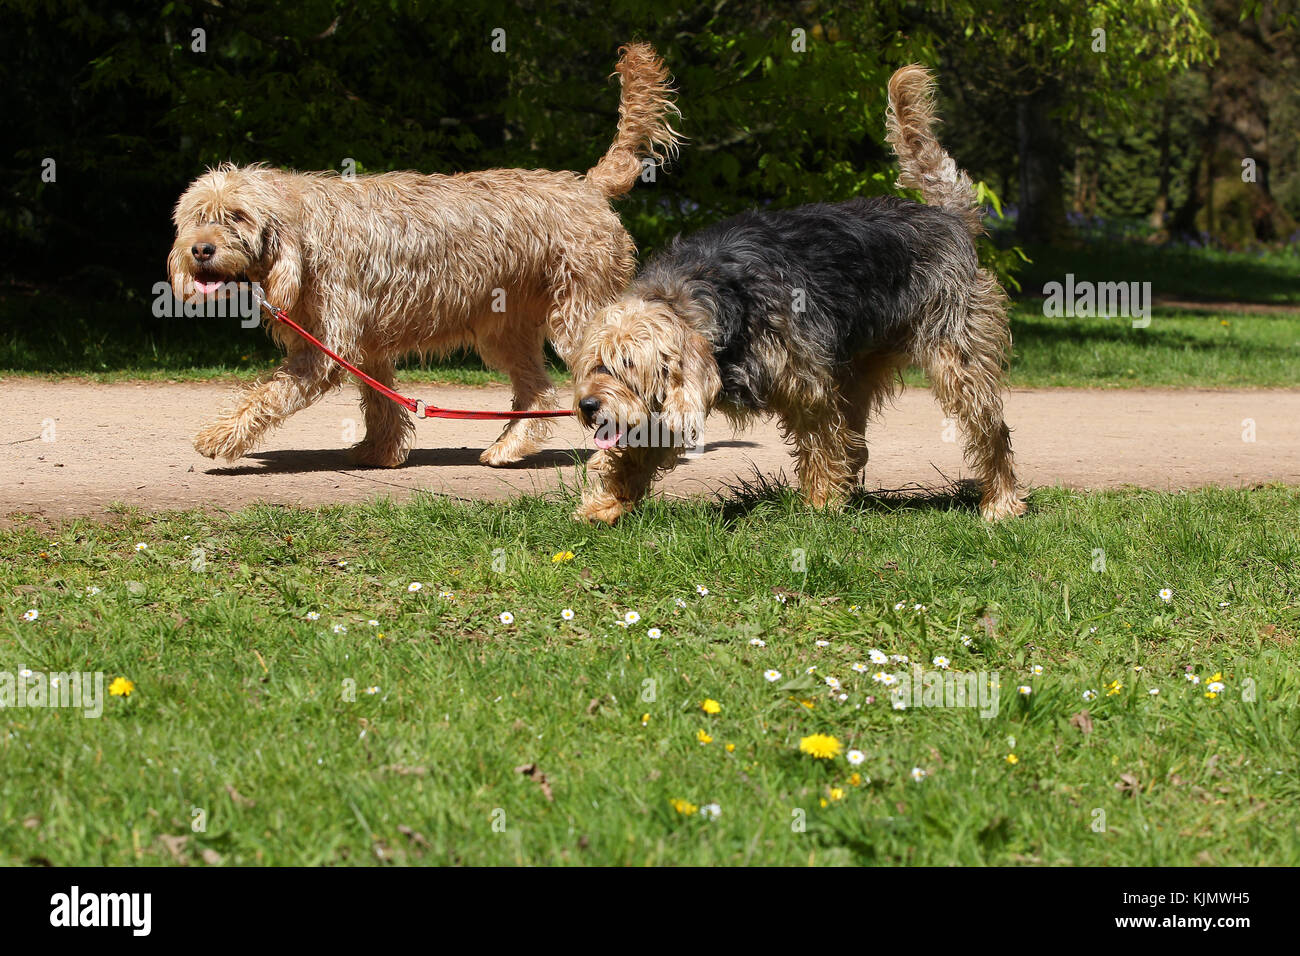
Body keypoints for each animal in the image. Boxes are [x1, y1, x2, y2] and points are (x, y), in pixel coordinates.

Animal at [170, 42, 681, 468]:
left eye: (237, 216)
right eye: (198, 215)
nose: (199, 249)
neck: (302, 234)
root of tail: (589, 186)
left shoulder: (326, 348)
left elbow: (268, 394)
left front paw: (219, 435)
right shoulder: (363, 345)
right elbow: (379, 401)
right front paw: (382, 451)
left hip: (578, 316)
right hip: (505, 329)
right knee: (536, 390)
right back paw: (508, 447)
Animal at [569, 63, 1024, 528]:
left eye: (628, 364)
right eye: (596, 363)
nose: (586, 406)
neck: (706, 295)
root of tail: (947, 217)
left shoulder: (809, 389)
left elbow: (821, 444)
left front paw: (821, 506)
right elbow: (633, 453)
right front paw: (607, 503)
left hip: (959, 361)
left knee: (991, 431)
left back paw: (1001, 502)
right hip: (857, 370)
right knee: (856, 441)